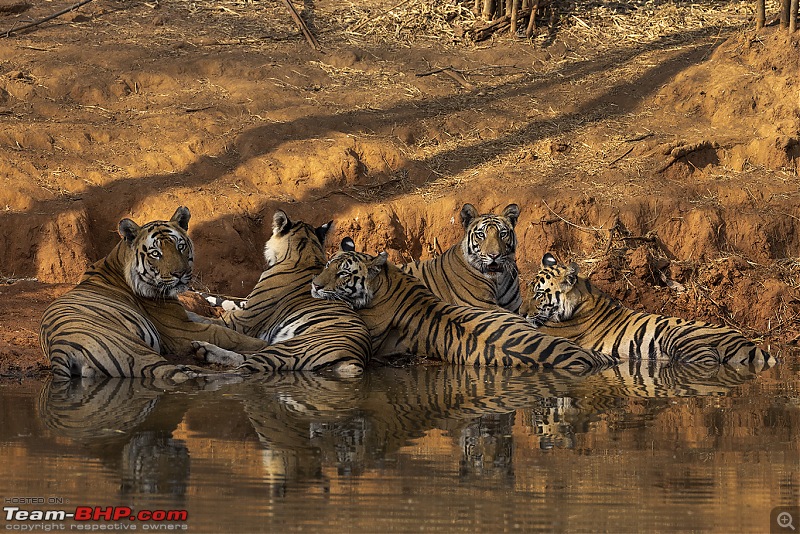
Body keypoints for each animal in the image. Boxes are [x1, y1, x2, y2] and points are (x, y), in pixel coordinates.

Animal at [39, 206, 274, 386]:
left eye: (180, 246)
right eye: (155, 253)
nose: (180, 274)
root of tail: (60, 350)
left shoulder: (186, 316)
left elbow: (217, 322)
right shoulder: (181, 331)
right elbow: (227, 334)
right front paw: (261, 343)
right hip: (137, 352)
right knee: (176, 376)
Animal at [190, 209, 372, 376]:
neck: (306, 254)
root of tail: (356, 360)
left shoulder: (242, 321)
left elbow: (208, 319)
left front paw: (192, 314)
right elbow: (222, 302)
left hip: (287, 347)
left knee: (240, 371)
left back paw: (192, 371)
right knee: (243, 358)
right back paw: (204, 350)